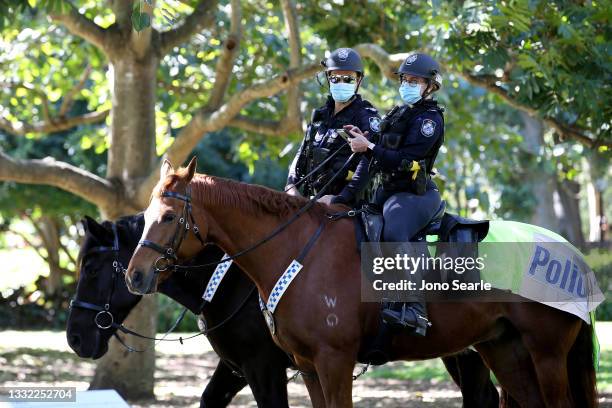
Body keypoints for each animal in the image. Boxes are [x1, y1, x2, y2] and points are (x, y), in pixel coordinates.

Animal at [67, 215, 500, 406]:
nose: (75, 337)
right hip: (465, 352)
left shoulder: (264, 368)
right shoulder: (236, 367)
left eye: (91, 268)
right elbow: (209, 400)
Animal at [125, 158, 596, 406]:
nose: (135, 275)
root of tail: (572, 254)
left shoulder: (329, 362)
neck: (298, 252)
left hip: (546, 352)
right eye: (146, 217)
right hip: (502, 348)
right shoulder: (307, 366)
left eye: (169, 216)